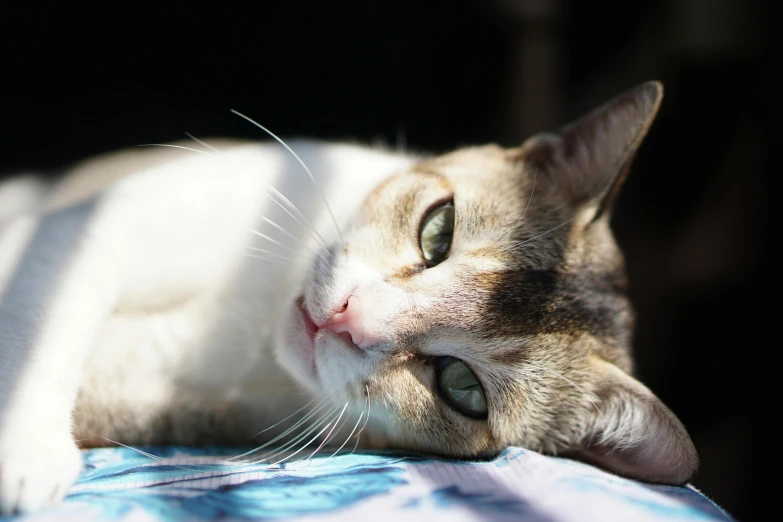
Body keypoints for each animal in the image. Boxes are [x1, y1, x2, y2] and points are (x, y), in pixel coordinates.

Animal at [0, 81, 700, 512]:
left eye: (462, 387)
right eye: (439, 230)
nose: (348, 318)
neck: (253, 322)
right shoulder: (93, 227)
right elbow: (45, 317)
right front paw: (24, 450)